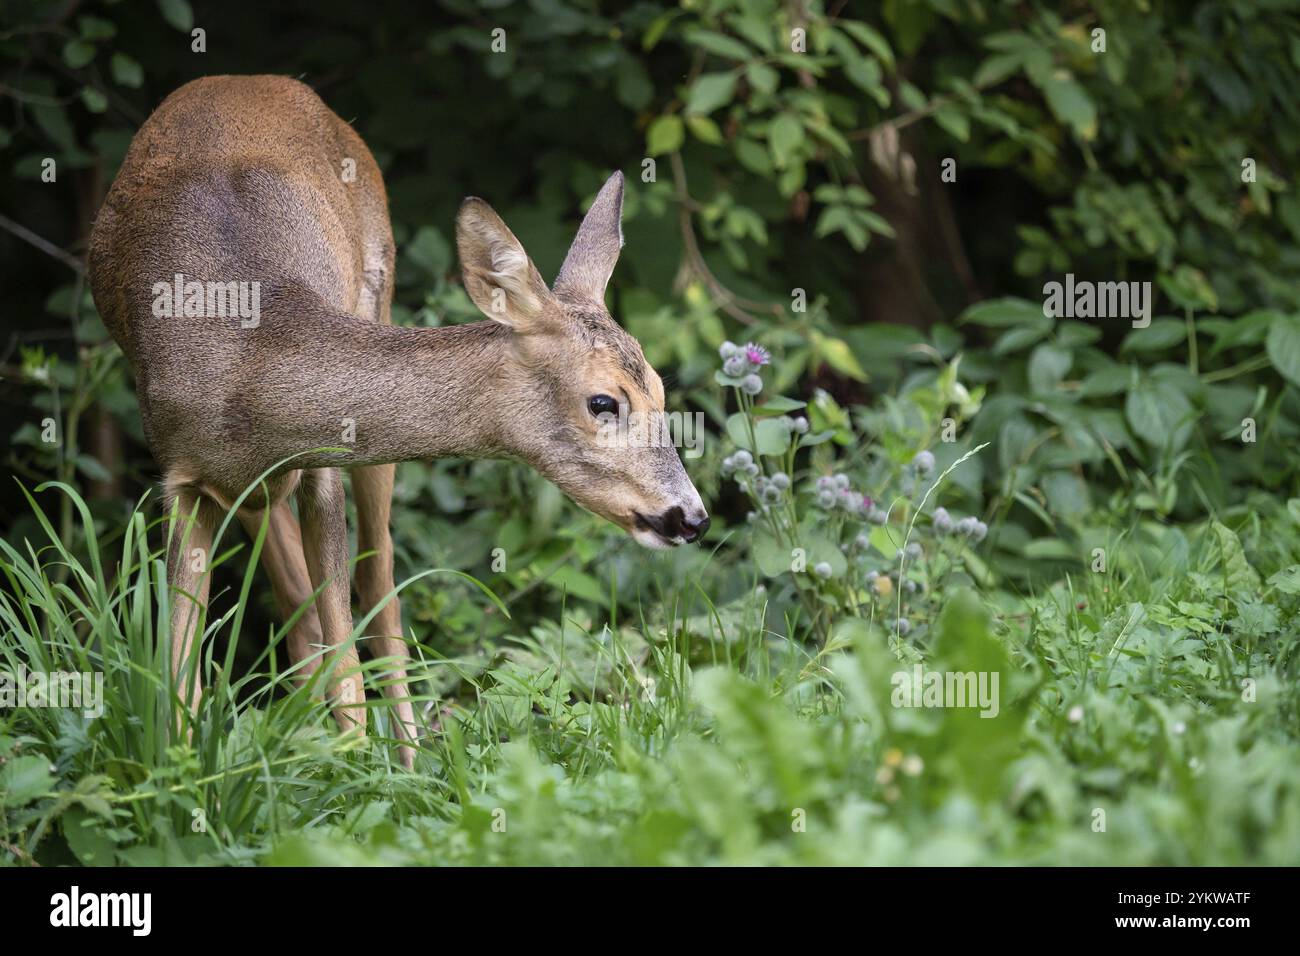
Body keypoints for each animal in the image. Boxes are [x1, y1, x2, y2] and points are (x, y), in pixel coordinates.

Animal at [87, 74, 709, 768]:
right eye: (604, 402)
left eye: (661, 389)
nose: (691, 516)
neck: (243, 359)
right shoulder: (181, 475)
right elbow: (178, 670)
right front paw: (181, 770)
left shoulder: (319, 463)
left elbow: (347, 660)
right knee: (303, 602)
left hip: (375, 306)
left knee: (377, 584)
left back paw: (410, 762)